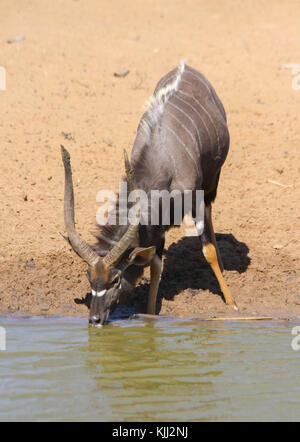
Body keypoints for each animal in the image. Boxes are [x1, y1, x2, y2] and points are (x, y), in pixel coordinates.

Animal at [61, 61, 237, 324]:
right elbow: (155, 265)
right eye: (89, 277)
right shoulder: (157, 227)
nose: (95, 319)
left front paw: (232, 303)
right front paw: (151, 313)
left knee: (210, 216)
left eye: (115, 279)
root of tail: (186, 66)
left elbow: (208, 252)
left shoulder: (193, 201)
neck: (162, 161)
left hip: (212, 181)